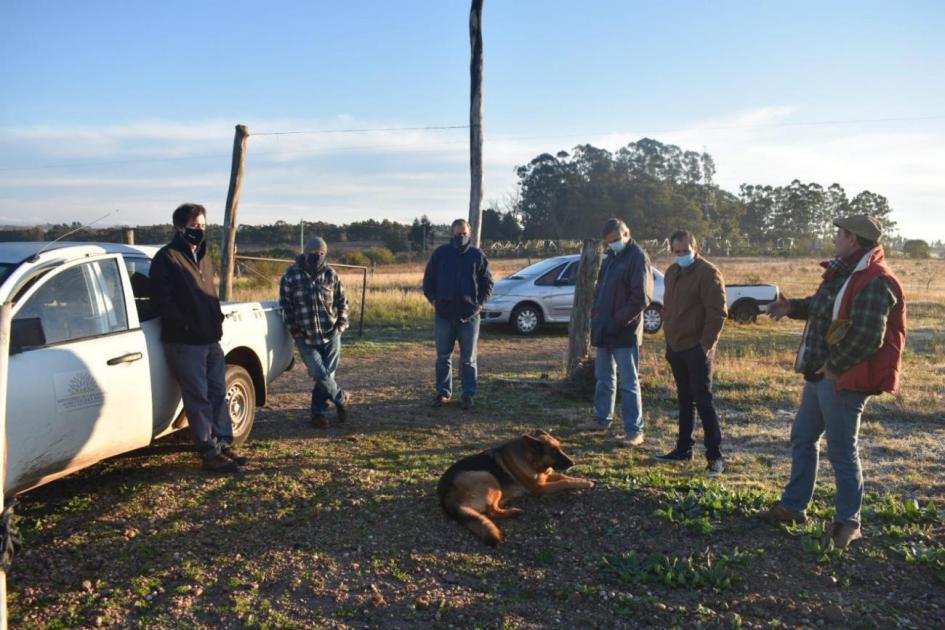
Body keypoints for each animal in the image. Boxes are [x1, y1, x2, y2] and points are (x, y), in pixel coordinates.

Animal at [436, 432, 592, 544]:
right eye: (553, 452)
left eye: (560, 448)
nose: (573, 463)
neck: (530, 460)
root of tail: (445, 497)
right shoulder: (539, 488)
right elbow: (563, 482)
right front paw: (583, 483)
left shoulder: (544, 479)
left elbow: (562, 477)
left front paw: (583, 480)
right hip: (488, 476)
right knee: (491, 511)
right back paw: (513, 511)